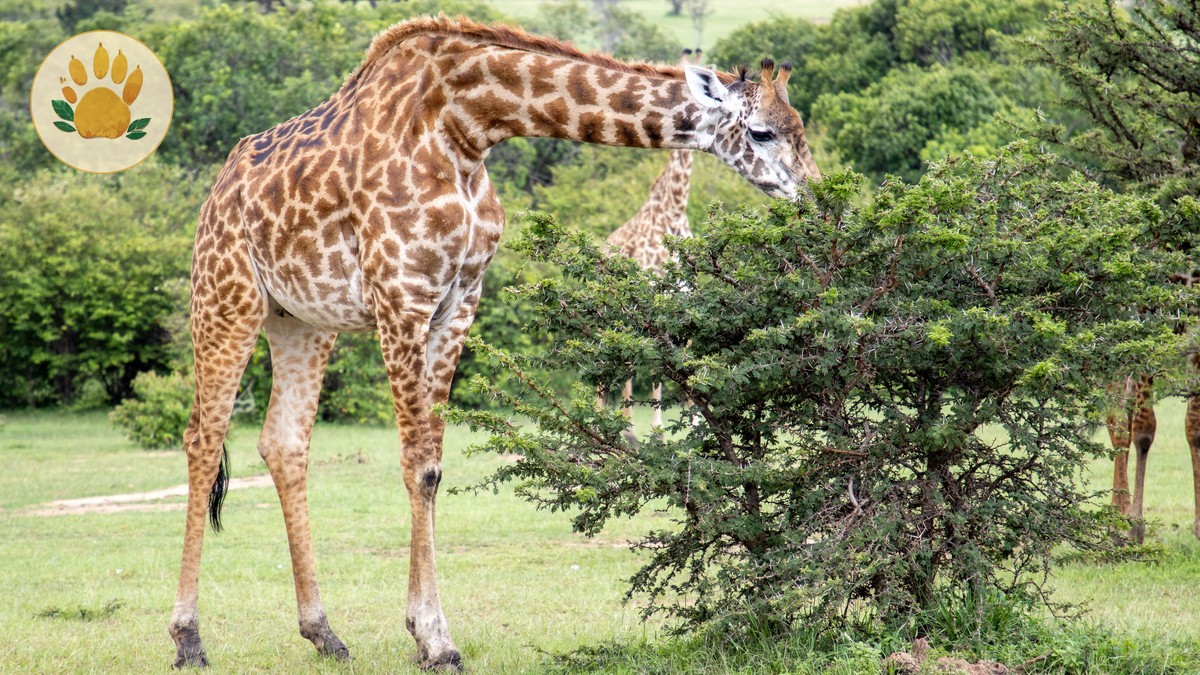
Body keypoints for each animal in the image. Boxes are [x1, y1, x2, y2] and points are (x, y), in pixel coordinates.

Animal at [169, 16, 819, 670]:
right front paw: (436, 639)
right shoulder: (402, 296)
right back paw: (188, 637)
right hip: (226, 296)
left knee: (284, 443)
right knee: (203, 437)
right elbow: (414, 462)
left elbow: (431, 467)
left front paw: (423, 634)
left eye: (801, 127)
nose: (816, 199)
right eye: (761, 132)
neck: (467, 126)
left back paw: (323, 632)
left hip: (301, 320)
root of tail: (217, 188)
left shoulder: (459, 302)